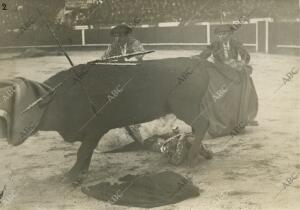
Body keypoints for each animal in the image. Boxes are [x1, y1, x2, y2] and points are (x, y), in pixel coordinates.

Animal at [35, 57, 212, 180]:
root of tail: (197, 62)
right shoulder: (89, 133)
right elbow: (87, 151)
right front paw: (81, 173)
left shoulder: (97, 128)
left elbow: (83, 151)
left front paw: (69, 176)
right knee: (197, 126)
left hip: (184, 108)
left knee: (202, 124)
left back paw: (192, 158)